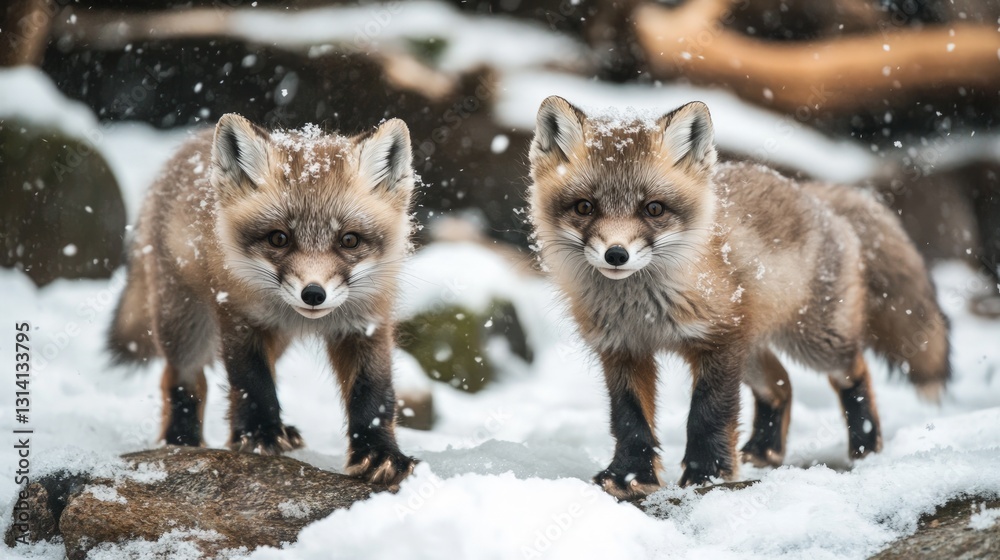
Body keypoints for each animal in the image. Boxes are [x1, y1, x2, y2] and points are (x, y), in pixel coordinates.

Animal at [108, 113, 417, 485]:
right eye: (279, 238)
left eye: (350, 240)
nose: (313, 294)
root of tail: (186, 146)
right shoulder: (241, 317)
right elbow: (252, 382)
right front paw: (260, 434)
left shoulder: (366, 325)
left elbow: (373, 394)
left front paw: (380, 454)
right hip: (186, 324)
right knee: (182, 378)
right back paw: (181, 440)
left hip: (275, 339)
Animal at [527, 96, 950, 499]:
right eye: (585, 207)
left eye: (654, 208)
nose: (616, 254)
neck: (643, 312)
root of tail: (812, 194)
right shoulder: (621, 349)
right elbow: (629, 420)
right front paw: (629, 477)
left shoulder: (720, 340)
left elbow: (708, 413)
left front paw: (707, 473)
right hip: (753, 352)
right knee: (781, 385)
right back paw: (765, 450)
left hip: (812, 343)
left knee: (854, 370)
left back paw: (865, 444)